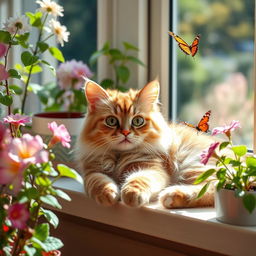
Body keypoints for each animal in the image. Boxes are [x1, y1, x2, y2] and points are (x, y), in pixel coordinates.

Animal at [76, 80, 216, 208]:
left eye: (138, 121)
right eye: (111, 121)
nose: (125, 132)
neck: (119, 155)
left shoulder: (151, 168)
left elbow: (138, 180)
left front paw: (131, 194)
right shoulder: (92, 171)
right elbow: (99, 182)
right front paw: (107, 194)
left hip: (194, 165)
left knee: (212, 187)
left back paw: (170, 196)